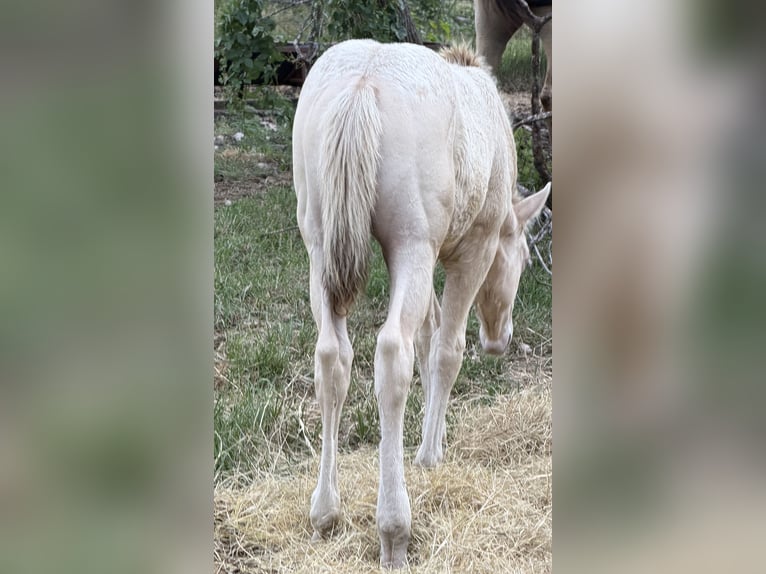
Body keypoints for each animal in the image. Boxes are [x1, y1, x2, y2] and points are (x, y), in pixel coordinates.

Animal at [292, 39, 549, 568]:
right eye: (520, 260)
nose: (501, 339)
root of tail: (361, 88)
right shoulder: (472, 248)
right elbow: (447, 349)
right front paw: (430, 454)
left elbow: (430, 337)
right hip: (410, 242)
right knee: (392, 353)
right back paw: (394, 530)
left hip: (321, 246)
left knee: (332, 356)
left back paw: (325, 511)